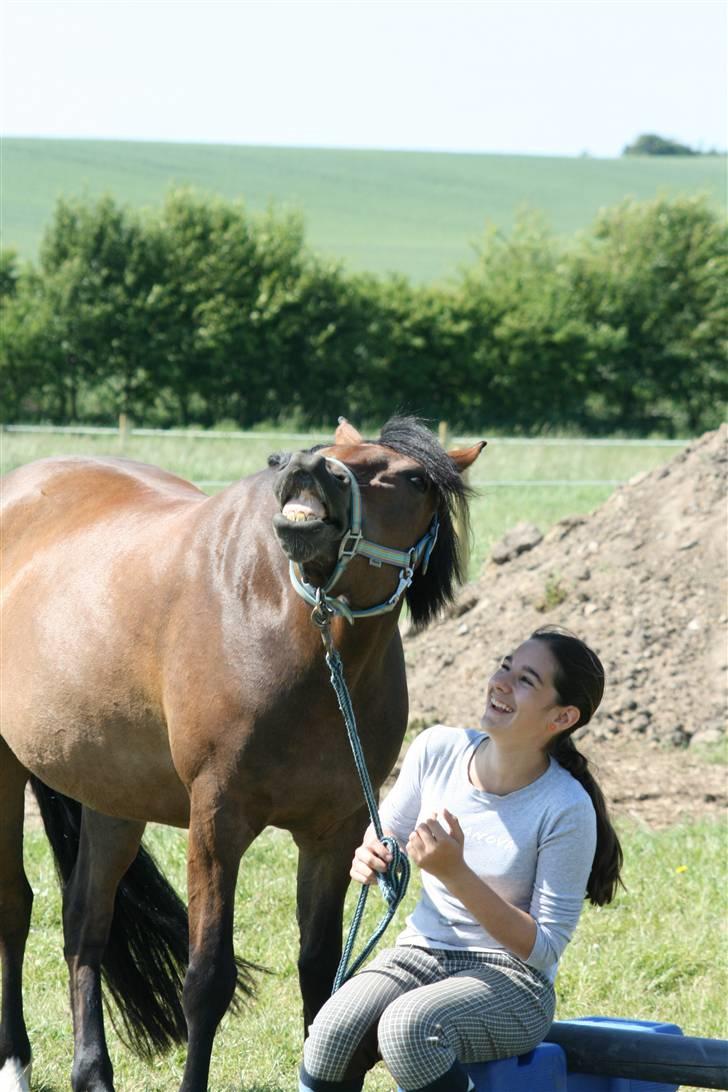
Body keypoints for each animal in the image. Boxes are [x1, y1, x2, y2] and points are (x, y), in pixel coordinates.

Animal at [2, 412, 486, 1087]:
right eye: (338, 449)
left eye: (413, 477)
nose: (304, 466)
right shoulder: (217, 821)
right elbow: (207, 979)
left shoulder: (334, 833)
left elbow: (320, 972)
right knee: (14, 907)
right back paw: (14, 1062)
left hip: (112, 799)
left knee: (84, 925)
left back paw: (92, 1073)